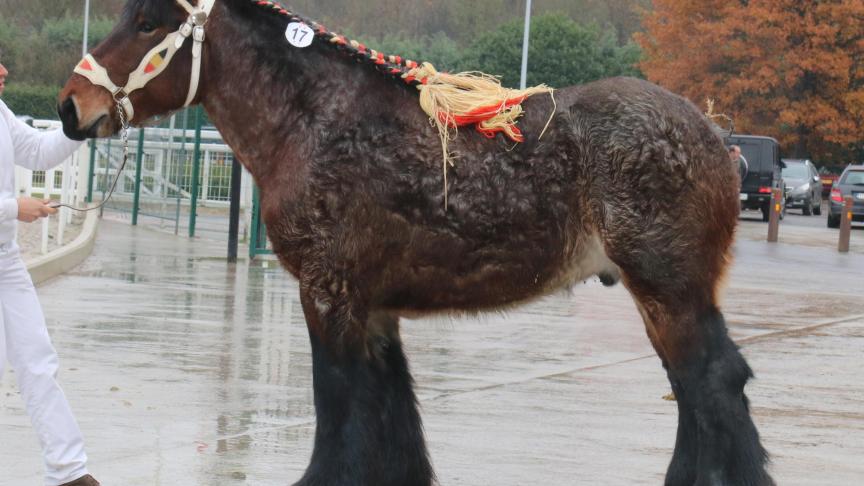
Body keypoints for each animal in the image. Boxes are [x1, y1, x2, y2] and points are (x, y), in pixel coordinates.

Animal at [57, 1, 776, 484]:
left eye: (148, 24)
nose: (70, 107)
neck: (316, 121)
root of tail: (714, 134)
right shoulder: (374, 309)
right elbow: (386, 406)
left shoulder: (329, 296)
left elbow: (338, 401)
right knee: (698, 387)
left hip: (668, 290)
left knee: (710, 381)